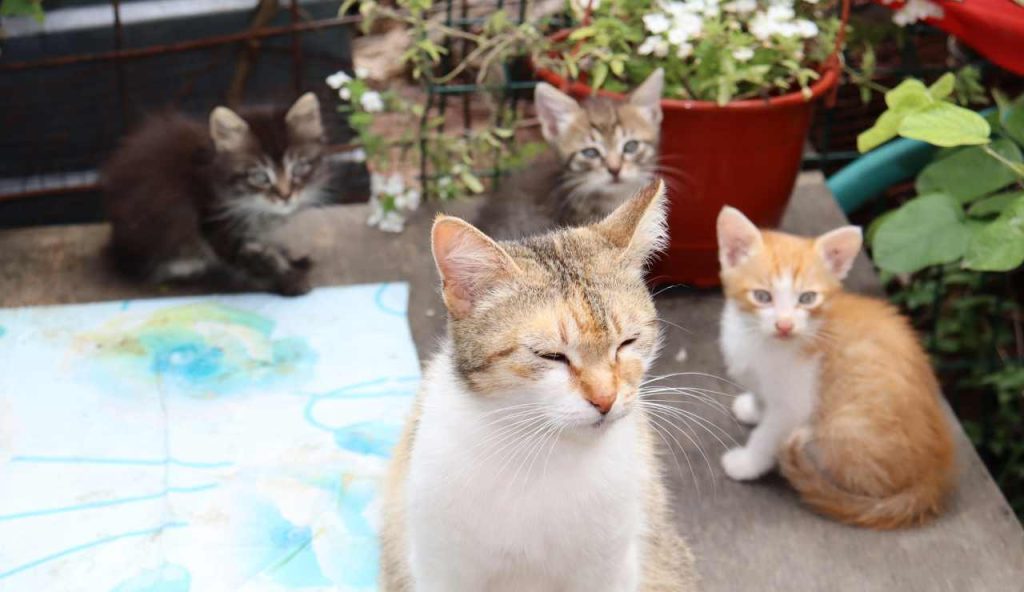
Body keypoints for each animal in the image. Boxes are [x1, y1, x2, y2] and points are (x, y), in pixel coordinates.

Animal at [102, 92, 329, 294]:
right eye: (259, 177)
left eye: (299, 168)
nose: (285, 195)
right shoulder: (214, 223)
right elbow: (250, 262)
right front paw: (288, 280)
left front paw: (292, 260)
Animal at [380, 180, 700, 589]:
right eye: (551, 356)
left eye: (627, 342)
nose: (605, 398)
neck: (539, 450)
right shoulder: (441, 566)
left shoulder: (610, 567)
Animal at [716, 205, 954, 524]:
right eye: (762, 296)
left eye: (807, 298)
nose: (784, 325)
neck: (759, 340)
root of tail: (934, 474)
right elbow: (761, 395)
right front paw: (753, 408)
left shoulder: (794, 406)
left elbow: (767, 435)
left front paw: (746, 463)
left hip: (846, 425)